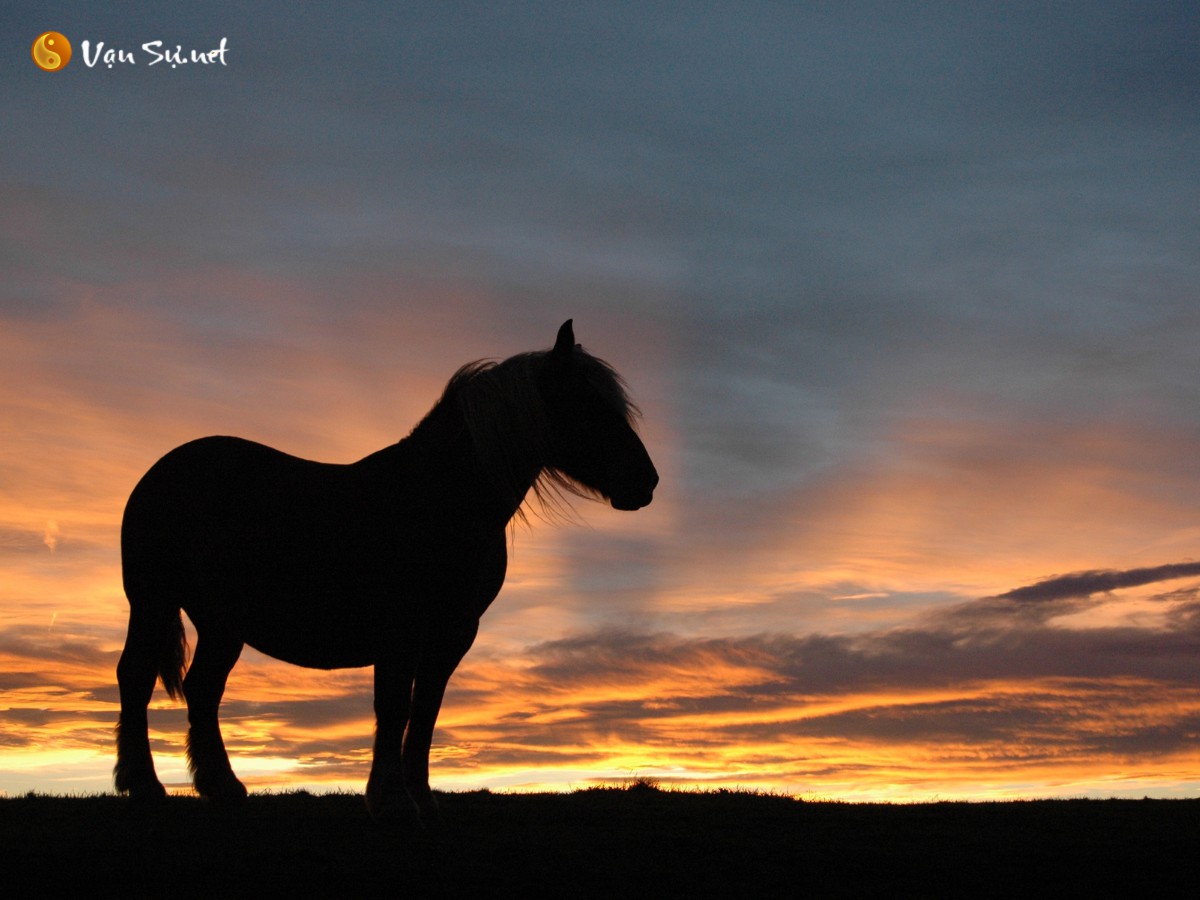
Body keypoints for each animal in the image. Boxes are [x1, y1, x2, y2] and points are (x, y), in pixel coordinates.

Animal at [114, 321, 657, 825]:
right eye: (585, 404)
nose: (646, 482)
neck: (437, 497)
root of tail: (162, 469)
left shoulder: (452, 634)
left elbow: (425, 713)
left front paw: (421, 797)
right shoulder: (399, 630)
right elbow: (393, 708)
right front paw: (393, 800)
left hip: (222, 624)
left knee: (203, 690)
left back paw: (222, 788)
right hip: (153, 601)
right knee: (136, 677)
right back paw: (143, 786)